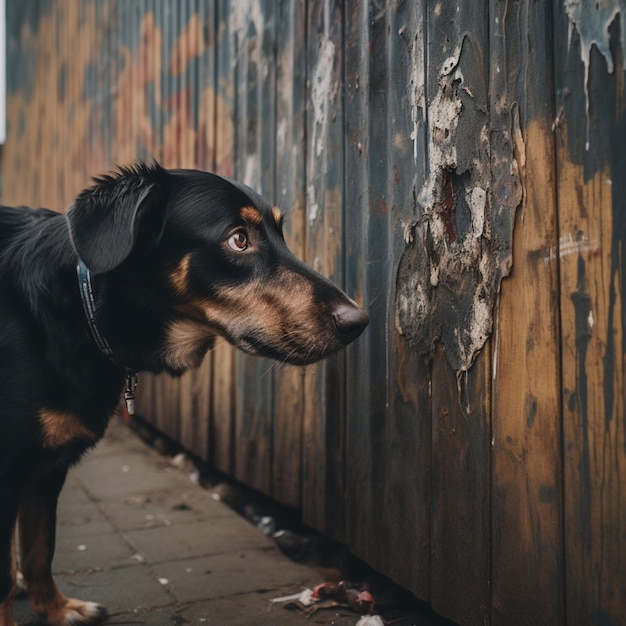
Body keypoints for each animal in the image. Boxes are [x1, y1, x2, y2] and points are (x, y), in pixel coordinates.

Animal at [0, 163, 366, 620]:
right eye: (238, 239)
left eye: (281, 233)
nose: (359, 321)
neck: (85, 311)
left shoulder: (47, 469)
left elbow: (40, 546)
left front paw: (56, 608)